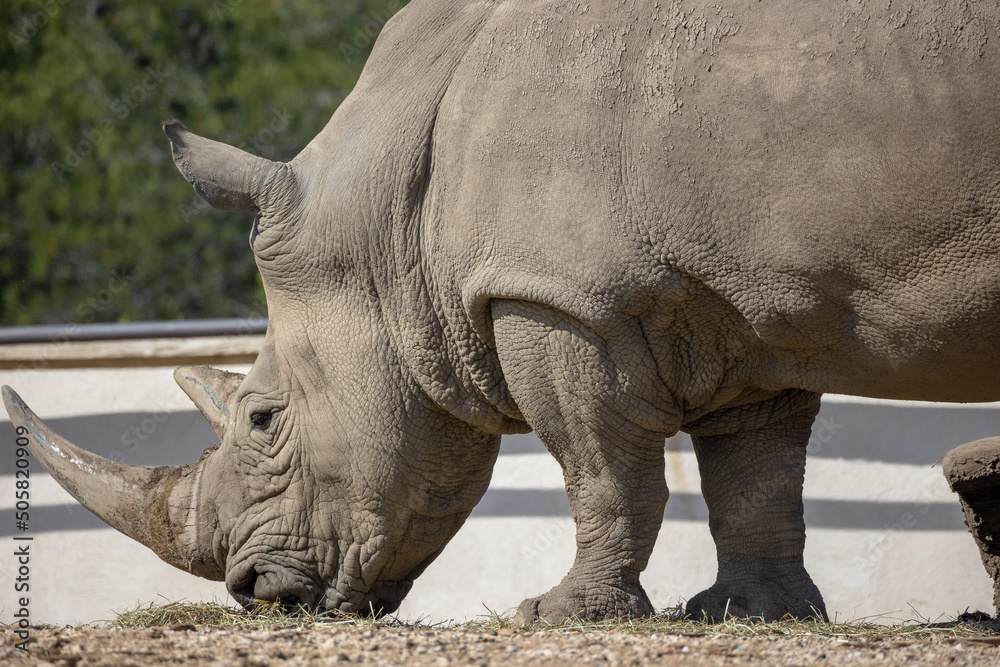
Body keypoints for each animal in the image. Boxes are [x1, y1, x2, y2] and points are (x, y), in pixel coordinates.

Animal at [6, 0, 1000, 622]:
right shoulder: (748, 304)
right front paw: (748, 615)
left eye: (261, 418)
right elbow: (754, 475)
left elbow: (602, 471)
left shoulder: (557, 296)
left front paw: (559, 614)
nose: (252, 592)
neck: (388, 217)